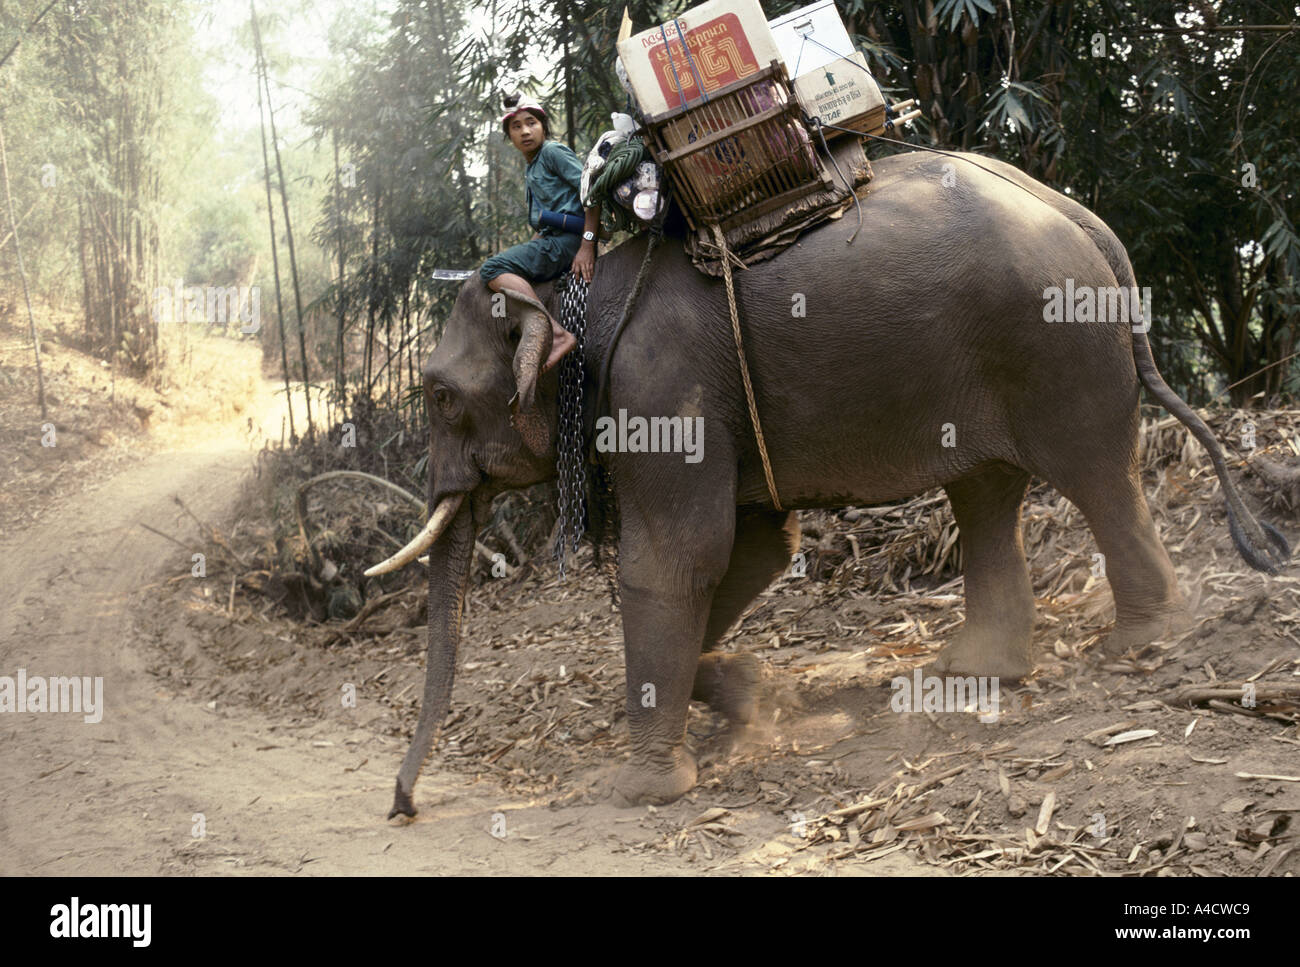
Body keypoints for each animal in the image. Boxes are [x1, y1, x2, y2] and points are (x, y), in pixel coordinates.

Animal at [365, 149, 1289, 819]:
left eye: (437, 395)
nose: (401, 807)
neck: (574, 285)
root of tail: (1087, 221)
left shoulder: (662, 391)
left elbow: (679, 558)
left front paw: (642, 792)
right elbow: (757, 548)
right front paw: (750, 692)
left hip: (1057, 343)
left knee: (1097, 474)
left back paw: (1143, 643)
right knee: (989, 495)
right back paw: (978, 670)